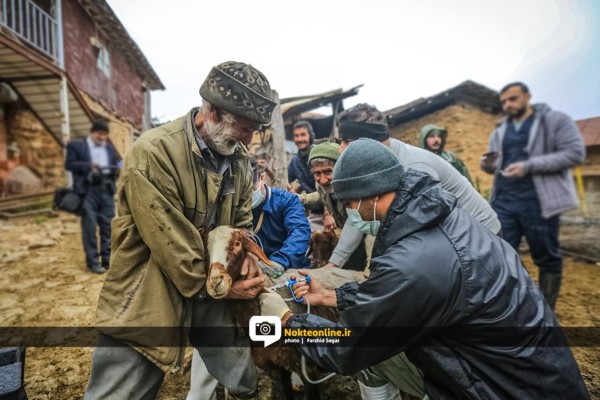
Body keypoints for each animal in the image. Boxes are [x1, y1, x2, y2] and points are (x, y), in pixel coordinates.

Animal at [206, 227, 366, 398]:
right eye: (207, 249)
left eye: (237, 243)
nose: (215, 283)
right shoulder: (281, 364)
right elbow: (287, 390)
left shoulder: (307, 369)